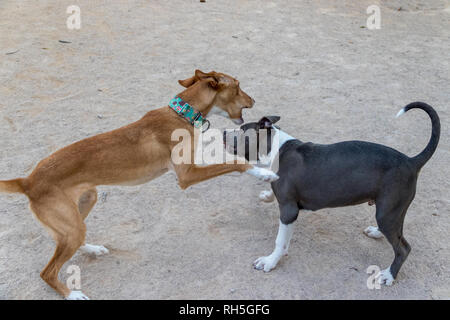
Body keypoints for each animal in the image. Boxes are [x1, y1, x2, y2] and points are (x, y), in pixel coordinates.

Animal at [0, 70, 278, 300]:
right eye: (238, 86)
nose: (253, 100)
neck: (182, 115)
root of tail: (27, 180)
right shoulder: (187, 176)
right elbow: (236, 162)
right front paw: (263, 173)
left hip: (84, 204)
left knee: (68, 240)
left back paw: (92, 248)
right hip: (70, 222)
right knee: (47, 272)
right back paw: (72, 294)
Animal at [224, 102, 440, 284]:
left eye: (241, 131)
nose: (224, 131)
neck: (277, 149)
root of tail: (411, 161)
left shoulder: (289, 211)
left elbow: (280, 241)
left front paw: (269, 262)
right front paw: (266, 193)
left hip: (387, 213)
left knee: (403, 248)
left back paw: (388, 275)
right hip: (392, 210)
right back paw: (376, 232)